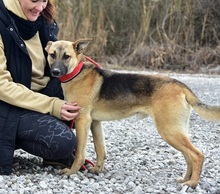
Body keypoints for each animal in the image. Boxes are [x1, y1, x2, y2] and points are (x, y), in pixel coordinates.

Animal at [45, 38, 220, 189]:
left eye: (66, 56)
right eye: (52, 54)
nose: (55, 72)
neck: (76, 73)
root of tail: (181, 86)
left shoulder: (82, 120)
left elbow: (80, 153)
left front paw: (72, 171)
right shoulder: (95, 123)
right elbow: (100, 150)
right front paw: (97, 170)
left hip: (169, 131)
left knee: (197, 155)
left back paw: (192, 183)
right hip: (177, 131)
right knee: (189, 156)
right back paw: (185, 179)